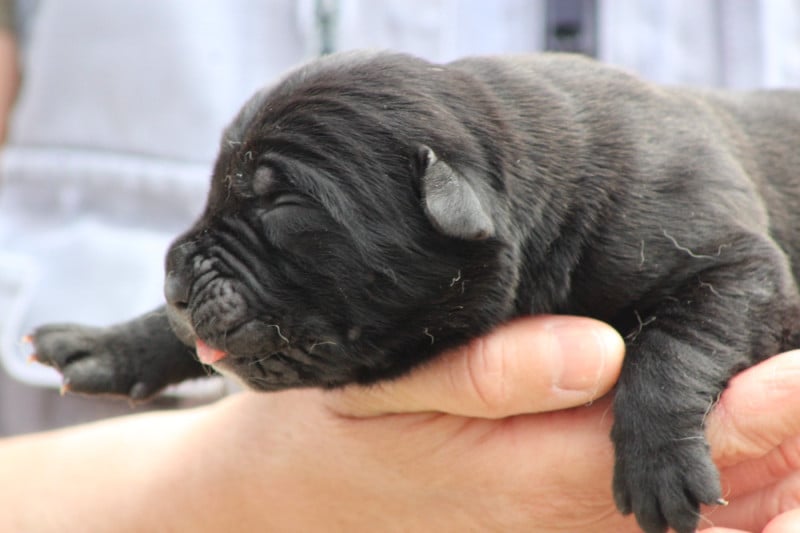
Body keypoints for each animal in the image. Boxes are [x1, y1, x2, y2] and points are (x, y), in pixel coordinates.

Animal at [30, 51, 800, 533]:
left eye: (282, 206)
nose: (174, 273)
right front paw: (107, 344)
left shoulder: (738, 264)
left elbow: (671, 347)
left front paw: (658, 464)